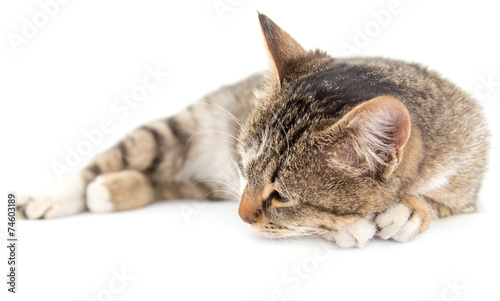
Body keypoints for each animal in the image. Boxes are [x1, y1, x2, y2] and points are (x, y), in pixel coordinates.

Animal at [18, 14, 488, 247]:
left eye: (280, 195)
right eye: (245, 169)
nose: (242, 216)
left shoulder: (470, 173)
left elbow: (442, 200)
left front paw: (412, 208)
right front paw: (351, 227)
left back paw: (112, 191)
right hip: (176, 130)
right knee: (109, 163)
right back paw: (54, 196)